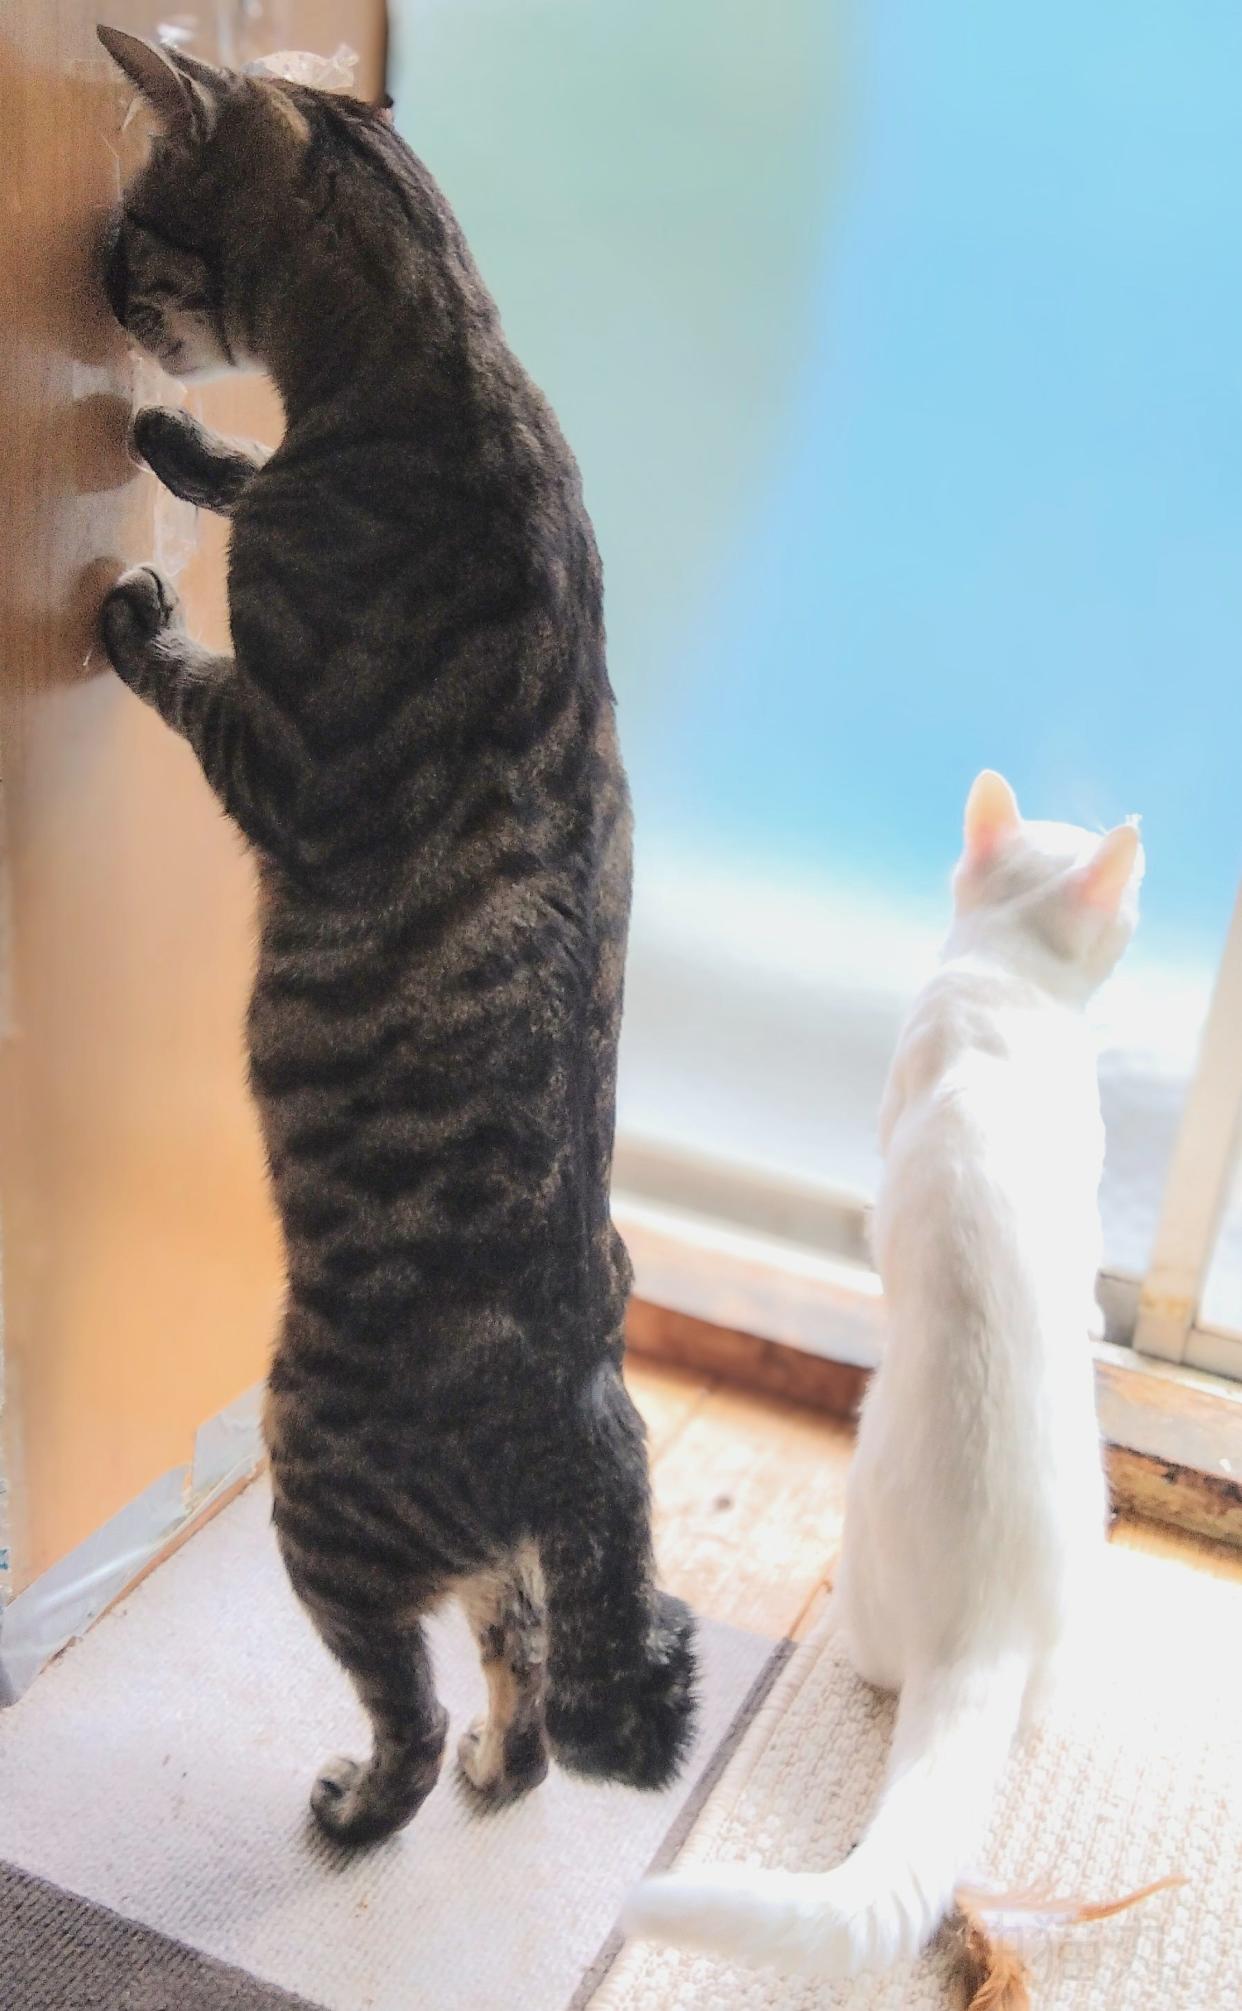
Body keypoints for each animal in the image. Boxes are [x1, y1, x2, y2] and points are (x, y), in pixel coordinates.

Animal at [94, 31, 695, 1842]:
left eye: (136, 224)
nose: (94, 277)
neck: (445, 359)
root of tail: (588, 1423)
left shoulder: (287, 765)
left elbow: (190, 670)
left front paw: (141, 597)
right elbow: (233, 471)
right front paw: (182, 447)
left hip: (314, 1481)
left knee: (414, 1700)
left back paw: (366, 1802)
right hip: (464, 1550)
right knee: (515, 1651)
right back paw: (507, 1767)